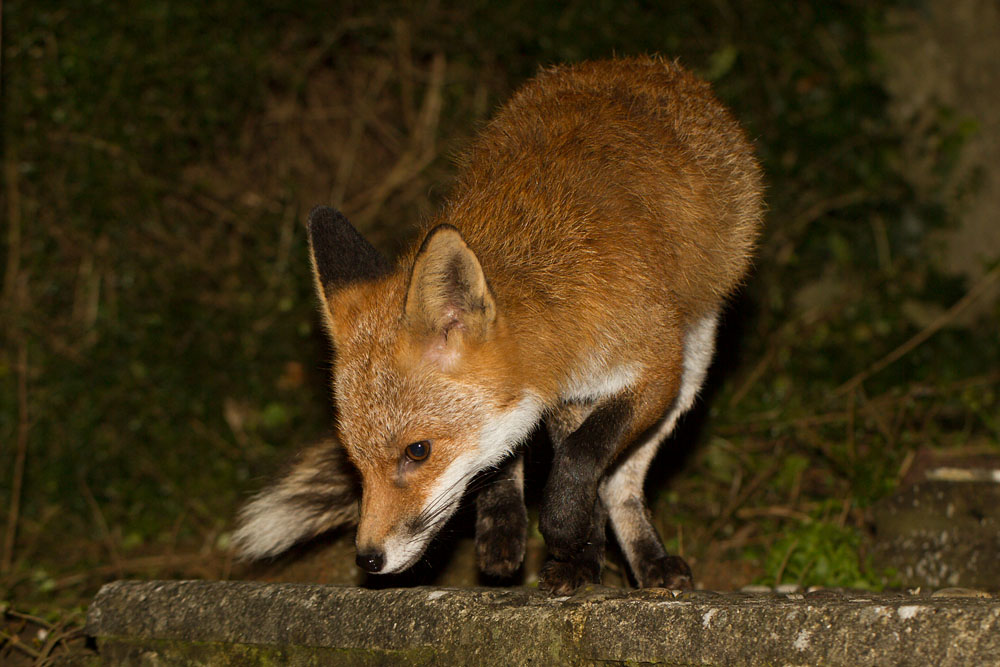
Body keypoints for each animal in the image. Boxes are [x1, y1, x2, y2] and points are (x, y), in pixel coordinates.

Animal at [234, 56, 763, 594]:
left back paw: (643, 559)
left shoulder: (656, 367)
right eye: (354, 458)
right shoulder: (563, 399)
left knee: (619, 482)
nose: (368, 559)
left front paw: (565, 529)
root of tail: (635, 63)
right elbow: (540, 459)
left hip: (695, 360)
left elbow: (583, 457)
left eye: (418, 451)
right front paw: (558, 544)